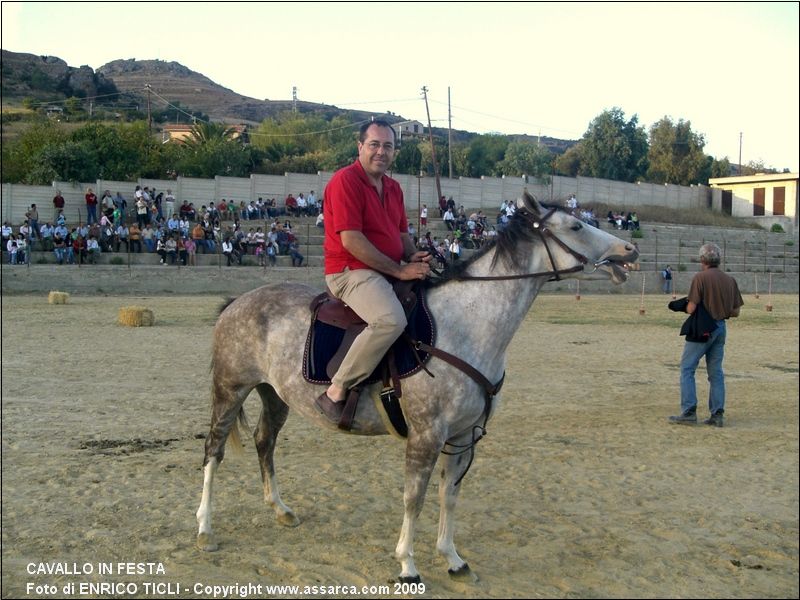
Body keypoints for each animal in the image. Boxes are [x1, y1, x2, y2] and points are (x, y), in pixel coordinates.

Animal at [195, 191, 636, 580]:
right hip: (229, 390)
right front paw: (407, 564)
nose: (629, 251)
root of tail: (236, 302)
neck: (466, 325)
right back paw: (204, 528)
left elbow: (448, 495)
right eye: (576, 226)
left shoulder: (463, 436)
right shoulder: (426, 435)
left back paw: (279, 509)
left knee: (264, 441)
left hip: (275, 395)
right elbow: (414, 498)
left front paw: (452, 557)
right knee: (214, 451)